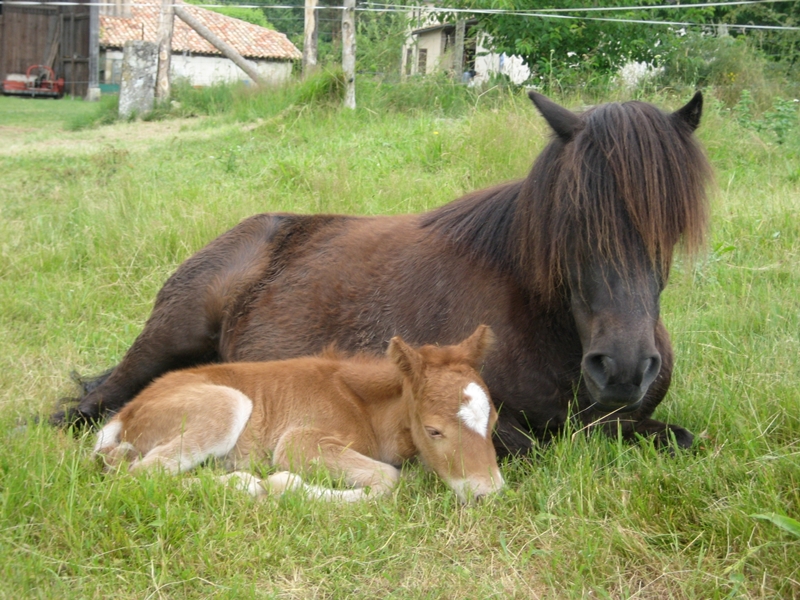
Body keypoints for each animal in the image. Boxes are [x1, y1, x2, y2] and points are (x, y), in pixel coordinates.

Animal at [59, 91, 716, 452]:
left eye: (672, 224)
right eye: (572, 218)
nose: (623, 368)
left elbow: (674, 436)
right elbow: (534, 442)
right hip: (168, 335)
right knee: (88, 409)